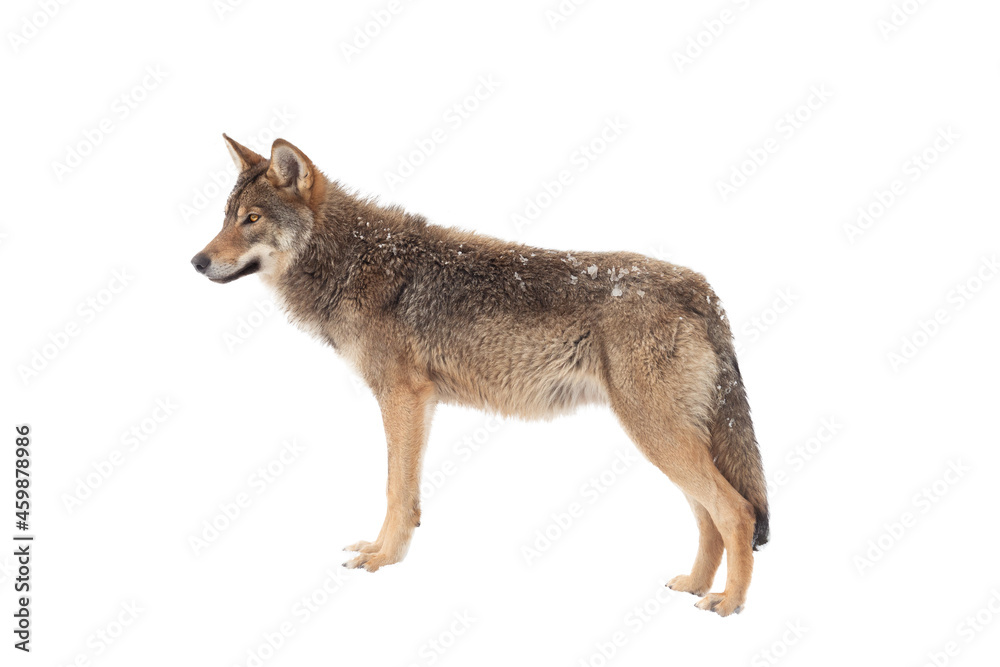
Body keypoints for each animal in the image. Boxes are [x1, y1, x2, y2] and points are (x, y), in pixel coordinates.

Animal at [191, 135, 769, 616]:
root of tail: (702, 290)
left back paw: (728, 605)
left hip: (657, 435)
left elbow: (394, 490)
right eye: (225, 218)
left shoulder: (401, 397)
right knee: (709, 518)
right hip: (665, 439)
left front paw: (382, 561)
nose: (196, 261)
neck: (352, 263)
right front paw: (383, 551)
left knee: (737, 513)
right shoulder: (420, 404)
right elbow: (407, 493)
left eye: (252, 219)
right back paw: (695, 586)